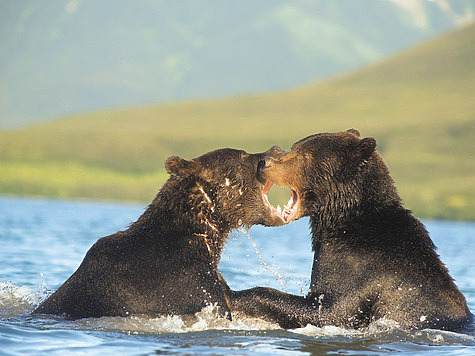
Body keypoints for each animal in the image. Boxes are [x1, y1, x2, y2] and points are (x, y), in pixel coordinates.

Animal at [231, 129, 472, 330]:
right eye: (294, 147)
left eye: (305, 156)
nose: (264, 162)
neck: (343, 219)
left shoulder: (364, 270)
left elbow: (329, 312)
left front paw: (233, 295)